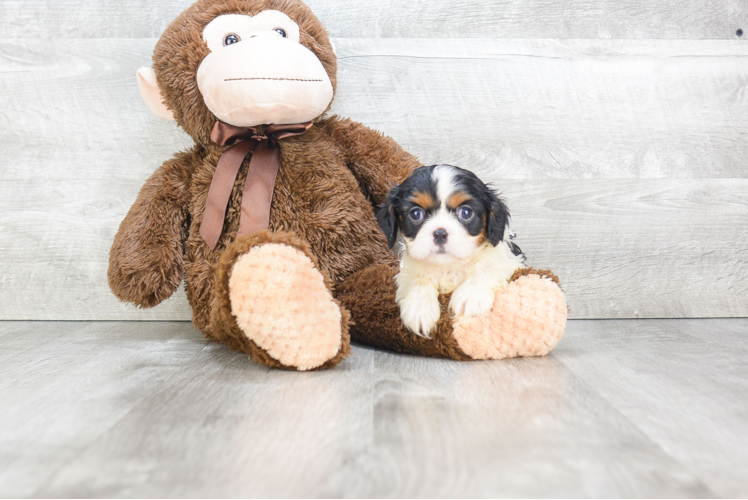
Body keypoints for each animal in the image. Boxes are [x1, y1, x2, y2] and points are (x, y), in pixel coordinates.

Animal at [374, 166, 524, 338]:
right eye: (415, 214)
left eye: (466, 212)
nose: (440, 233)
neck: (449, 266)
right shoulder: (408, 268)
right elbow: (418, 278)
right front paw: (419, 308)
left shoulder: (511, 259)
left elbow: (487, 268)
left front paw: (471, 296)